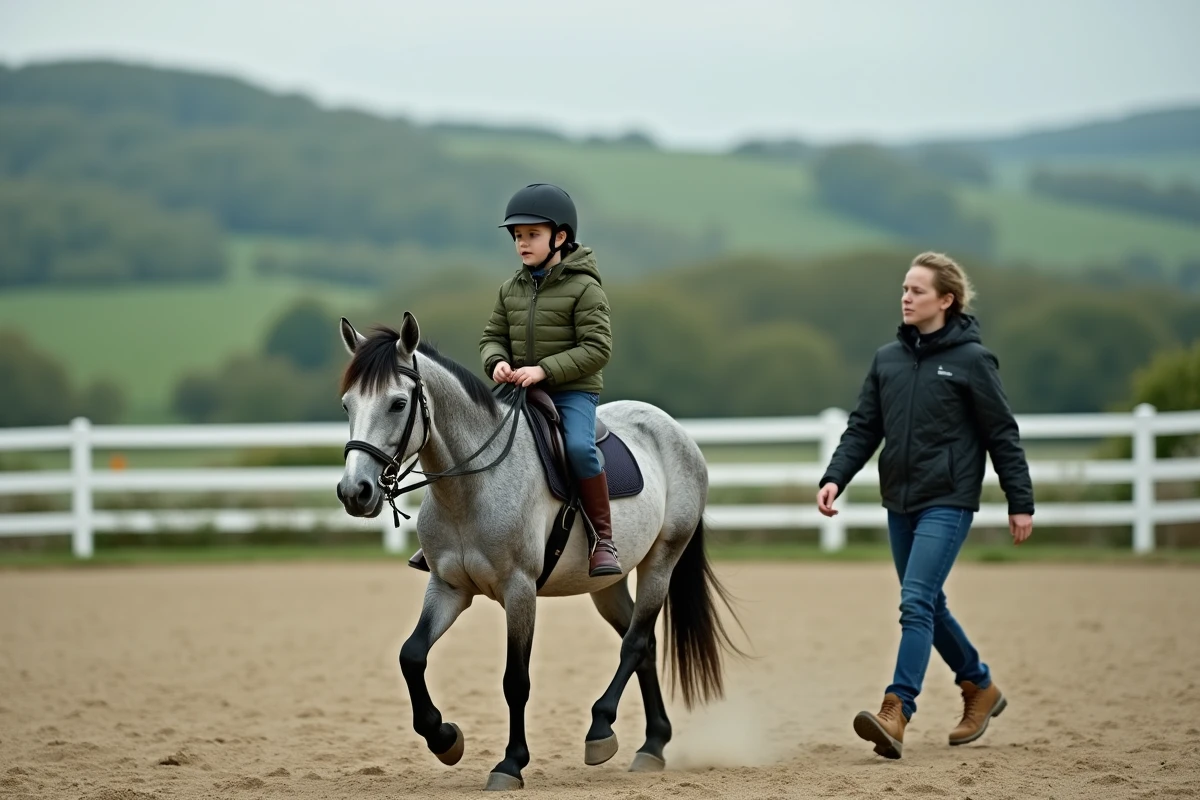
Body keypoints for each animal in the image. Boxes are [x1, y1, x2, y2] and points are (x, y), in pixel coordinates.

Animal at [335, 311, 745, 791]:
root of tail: (673, 430)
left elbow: (516, 681)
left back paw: (601, 729)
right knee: (641, 644)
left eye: (398, 404)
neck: (472, 485)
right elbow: (411, 655)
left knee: (635, 643)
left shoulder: (520, 591)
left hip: (661, 561)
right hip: (607, 584)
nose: (355, 492)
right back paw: (652, 744)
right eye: (347, 406)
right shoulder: (448, 587)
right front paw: (444, 738)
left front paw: (510, 764)